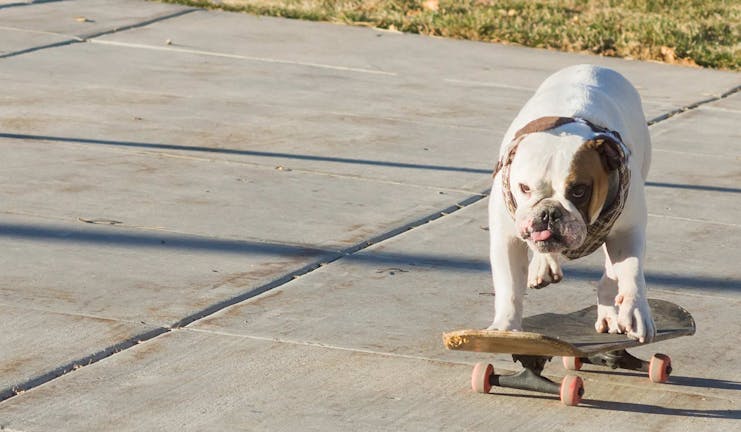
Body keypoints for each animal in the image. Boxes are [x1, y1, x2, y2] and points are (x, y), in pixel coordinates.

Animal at [488, 62, 656, 342]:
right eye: (524, 188)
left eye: (579, 191)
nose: (549, 213)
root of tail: (592, 65)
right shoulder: (507, 238)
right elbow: (509, 286)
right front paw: (505, 328)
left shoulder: (627, 233)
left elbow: (631, 273)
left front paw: (634, 311)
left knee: (610, 273)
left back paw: (609, 313)